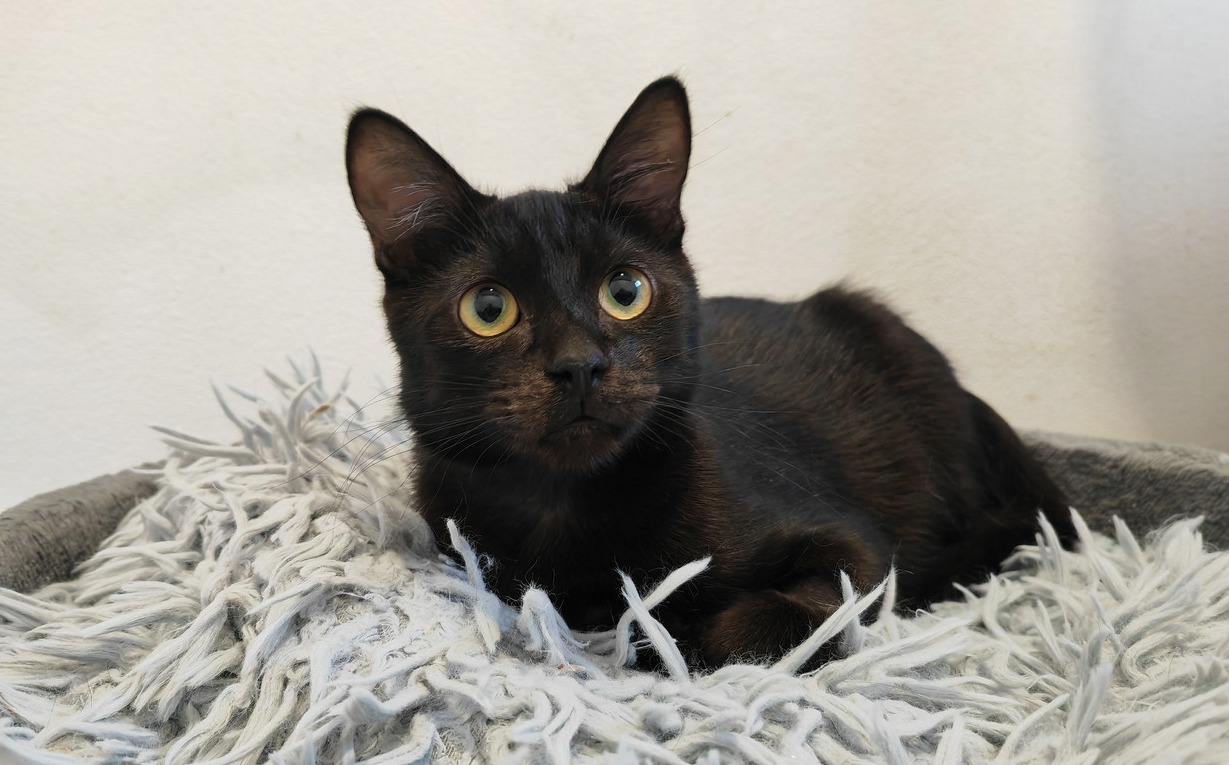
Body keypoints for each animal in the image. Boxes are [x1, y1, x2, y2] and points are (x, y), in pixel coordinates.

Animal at [344, 77, 1076, 669]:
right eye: (488, 308)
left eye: (626, 290)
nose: (580, 364)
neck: (566, 511)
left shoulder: (857, 546)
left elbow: (766, 623)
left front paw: (666, 639)